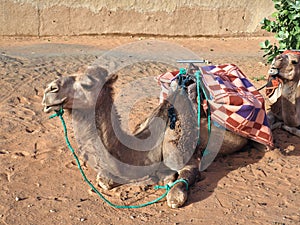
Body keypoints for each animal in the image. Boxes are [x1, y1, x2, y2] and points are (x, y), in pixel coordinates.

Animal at [41, 64, 251, 208]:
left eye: (87, 83)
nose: (50, 89)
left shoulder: (183, 157)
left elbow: (178, 189)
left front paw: (171, 187)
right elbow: (104, 180)